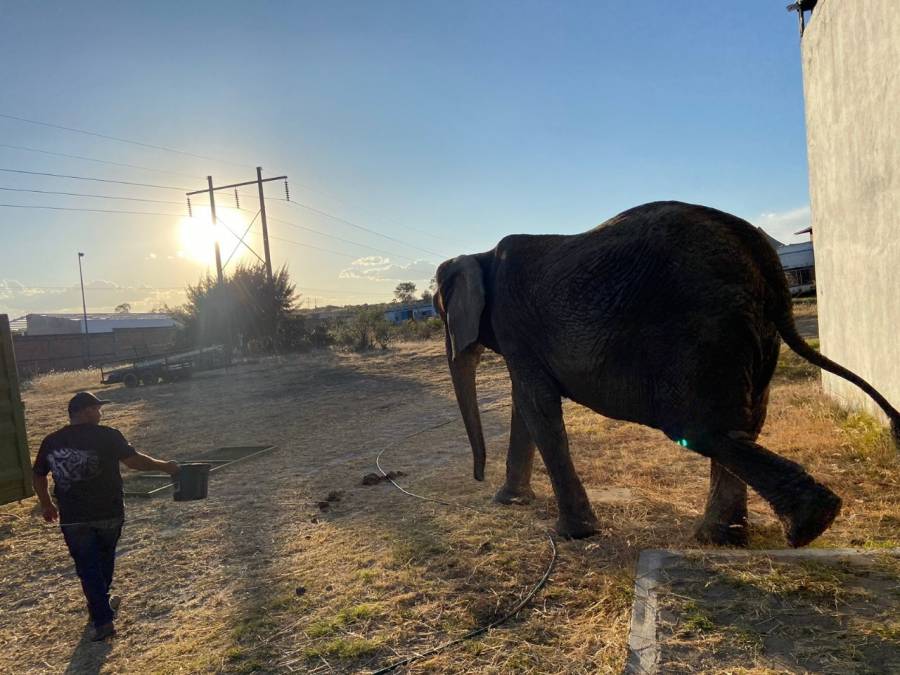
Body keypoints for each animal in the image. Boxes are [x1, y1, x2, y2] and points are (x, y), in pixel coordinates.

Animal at [432, 201, 896, 548]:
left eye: (438, 310)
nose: (477, 477)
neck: (479, 255)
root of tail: (758, 249)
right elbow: (525, 407)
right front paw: (510, 502)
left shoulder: (517, 325)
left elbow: (536, 408)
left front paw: (572, 535)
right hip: (750, 330)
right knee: (742, 426)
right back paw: (721, 538)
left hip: (702, 326)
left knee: (702, 428)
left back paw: (810, 525)